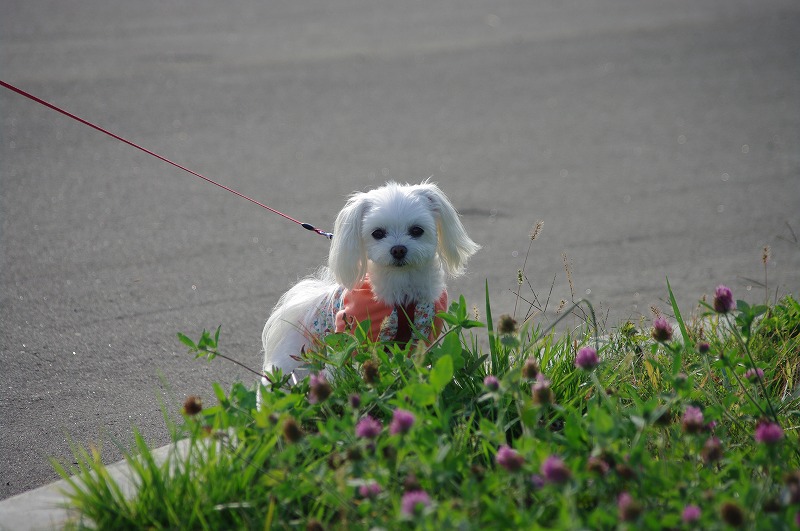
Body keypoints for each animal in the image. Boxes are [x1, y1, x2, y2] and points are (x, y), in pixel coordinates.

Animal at [261, 181, 480, 381]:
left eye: (417, 230)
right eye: (378, 233)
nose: (398, 250)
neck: (402, 288)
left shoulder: (422, 336)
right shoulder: (352, 337)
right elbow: (342, 366)